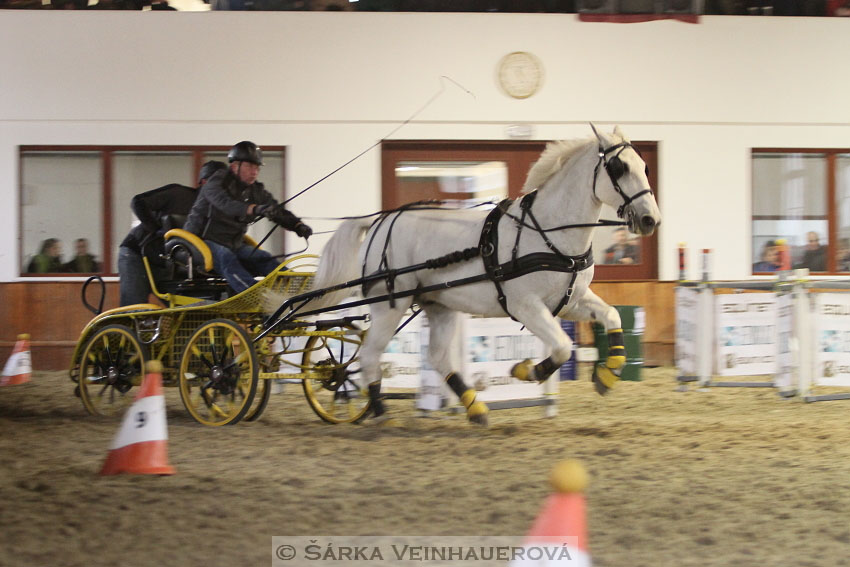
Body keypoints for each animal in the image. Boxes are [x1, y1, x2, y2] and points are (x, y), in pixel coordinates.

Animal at [308, 125, 660, 426]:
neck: (548, 232)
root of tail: (380, 221)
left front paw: (607, 375)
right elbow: (561, 346)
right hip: (389, 306)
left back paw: (474, 407)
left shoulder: (571, 300)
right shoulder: (526, 306)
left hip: (439, 306)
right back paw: (380, 412)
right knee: (369, 355)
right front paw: (527, 371)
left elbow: (612, 316)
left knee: (438, 357)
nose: (650, 219)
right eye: (618, 167)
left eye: (644, 166)